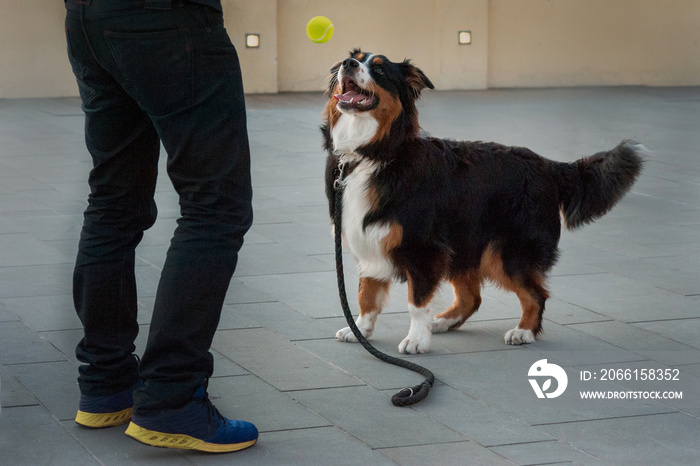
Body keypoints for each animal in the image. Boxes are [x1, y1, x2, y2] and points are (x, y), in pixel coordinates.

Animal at [322, 50, 644, 354]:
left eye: (378, 70)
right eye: (354, 59)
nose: (348, 64)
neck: (371, 153)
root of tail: (547, 165)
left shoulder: (423, 248)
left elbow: (416, 302)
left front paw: (416, 340)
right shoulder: (367, 236)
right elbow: (366, 294)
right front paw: (360, 330)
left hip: (507, 253)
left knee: (535, 294)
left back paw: (523, 332)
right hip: (465, 244)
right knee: (471, 296)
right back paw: (442, 322)